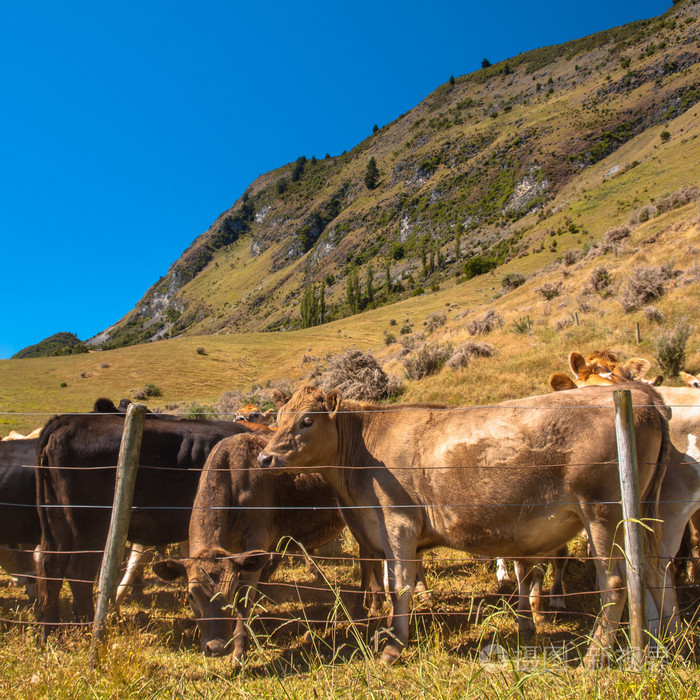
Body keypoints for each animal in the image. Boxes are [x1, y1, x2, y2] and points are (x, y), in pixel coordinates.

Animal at [34, 410, 252, 636]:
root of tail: (66, 420)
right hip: (91, 529)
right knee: (78, 573)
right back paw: (86, 625)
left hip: (57, 522)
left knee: (50, 566)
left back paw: (48, 630)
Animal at [153, 432, 350, 660]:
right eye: (191, 595)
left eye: (230, 591)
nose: (217, 647)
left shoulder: (257, 540)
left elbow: (245, 599)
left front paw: (239, 651)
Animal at [258, 382, 680, 668]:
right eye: (278, 419)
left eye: (307, 421)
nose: (264, 458)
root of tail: (642, 396)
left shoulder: (397, 522)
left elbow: (399, 585)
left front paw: (394, 646)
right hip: (641, 513)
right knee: (655, 572)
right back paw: (660, 647)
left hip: (603, 513)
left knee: (615, 582)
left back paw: (594, 659)